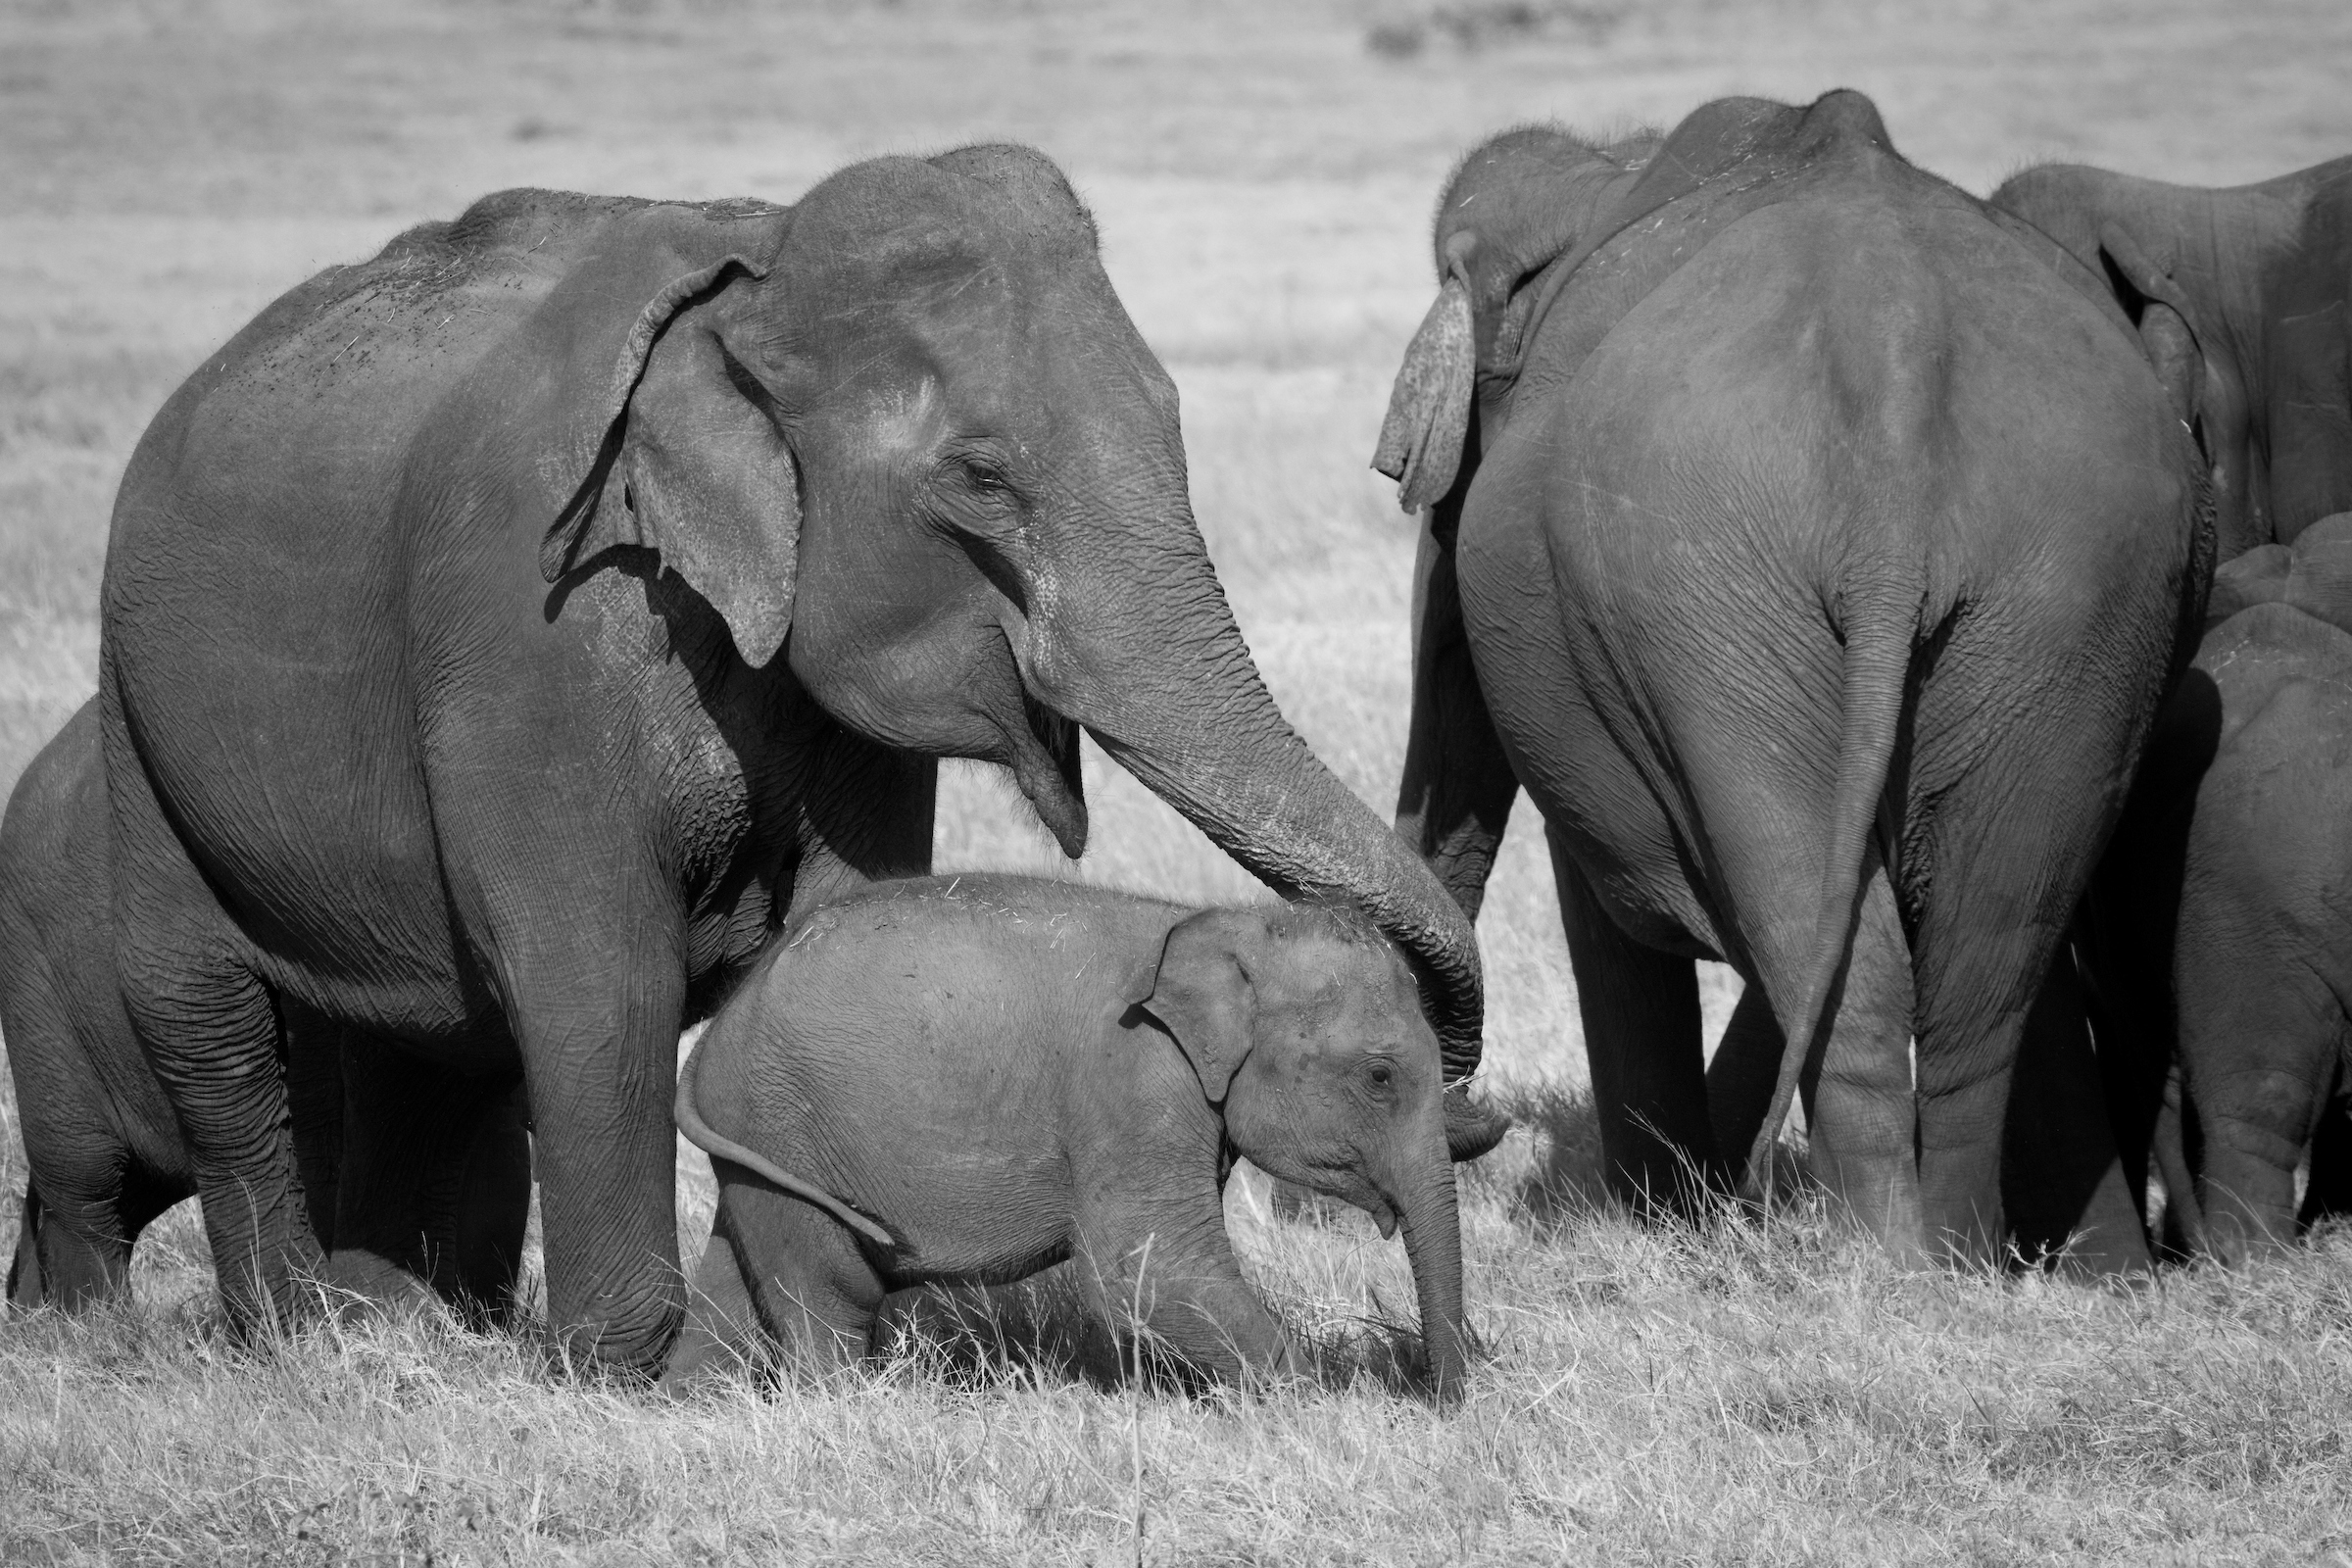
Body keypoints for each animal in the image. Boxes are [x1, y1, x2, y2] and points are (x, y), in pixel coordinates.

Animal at [660, 875, 1467, 1402]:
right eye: (1381, 1077)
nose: (1443, 1404)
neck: (1227, 924)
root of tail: (714, 1037)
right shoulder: (1133, 1079)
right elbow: (1141, 1265)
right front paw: (1317, 1408)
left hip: (760, 1136)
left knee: (740, 1276)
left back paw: (690, 1405)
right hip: (780, 1119)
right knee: (833, 1289)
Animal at [1375, 91, 2209, 1267]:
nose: (1461, 1115)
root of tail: (1898, 366)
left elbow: (1602, 901)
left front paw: (1660, 1224)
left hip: (1707, 590)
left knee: (1850, 939)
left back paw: (1884, 1269)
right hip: (2077, 594)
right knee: (1982, 961)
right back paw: (1951, 1263)